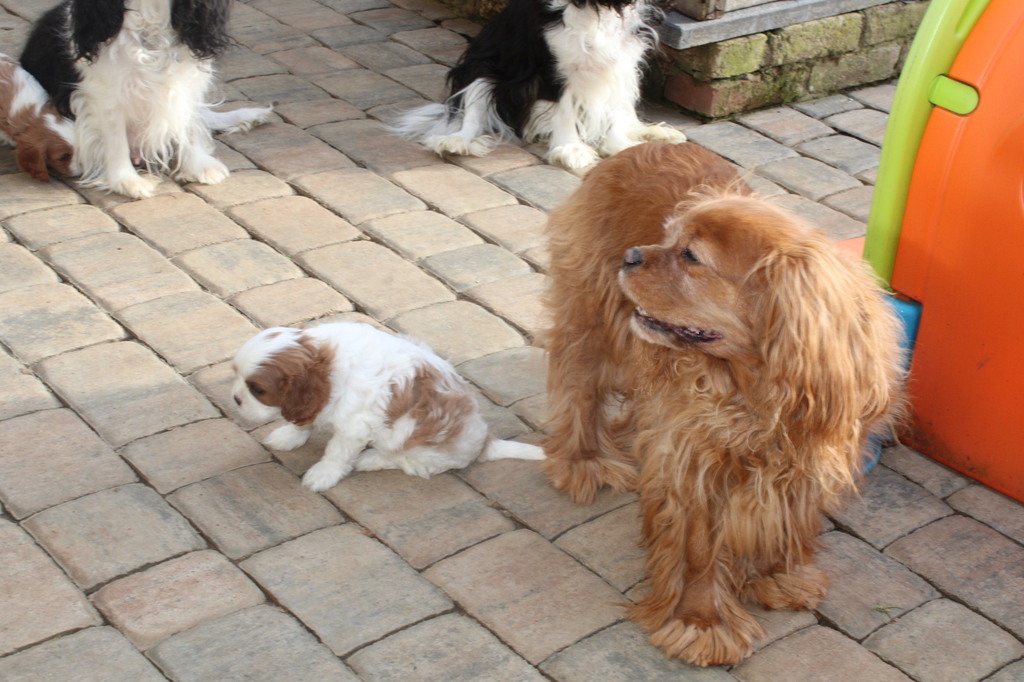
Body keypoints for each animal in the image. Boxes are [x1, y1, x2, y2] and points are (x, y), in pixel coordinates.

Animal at [19, 0, 271, 199]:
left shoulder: (185, 84)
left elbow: (188, 127)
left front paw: (198, 164)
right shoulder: (104, 94)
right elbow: (116, 140)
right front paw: (127, 180)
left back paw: (248, 116)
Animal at [232, 323, 545, 492]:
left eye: (257, 390)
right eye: (235, 374)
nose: (235, 399)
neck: (326, 361)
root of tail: (484, 443)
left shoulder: (354, 426)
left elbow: (336, 453)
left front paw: (322, 474)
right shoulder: (316, 402)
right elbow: (304, 420)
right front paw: (289, 436)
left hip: (413, 442)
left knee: (409, 462)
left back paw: (370, 459)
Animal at [391, 0, 685, 169]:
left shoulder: (622, 58)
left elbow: (612, 111)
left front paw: (619, 145)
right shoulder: (552, 66)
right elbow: (565, 109)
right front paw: (570, 149)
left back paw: (654, 133)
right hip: (483, 70)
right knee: (471, 113)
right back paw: (455, 142)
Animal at [541, 143, 905, 666]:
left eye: (691, 256)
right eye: (668, 237)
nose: (631, 255)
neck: (752, 387)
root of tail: (643, 144)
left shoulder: (804, 454)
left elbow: (786, 518)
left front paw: (778, 575)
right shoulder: (695, 459)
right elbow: (698, 548)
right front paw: (701, 623)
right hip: (590, 315)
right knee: (578, 388)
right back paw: (583, 460)